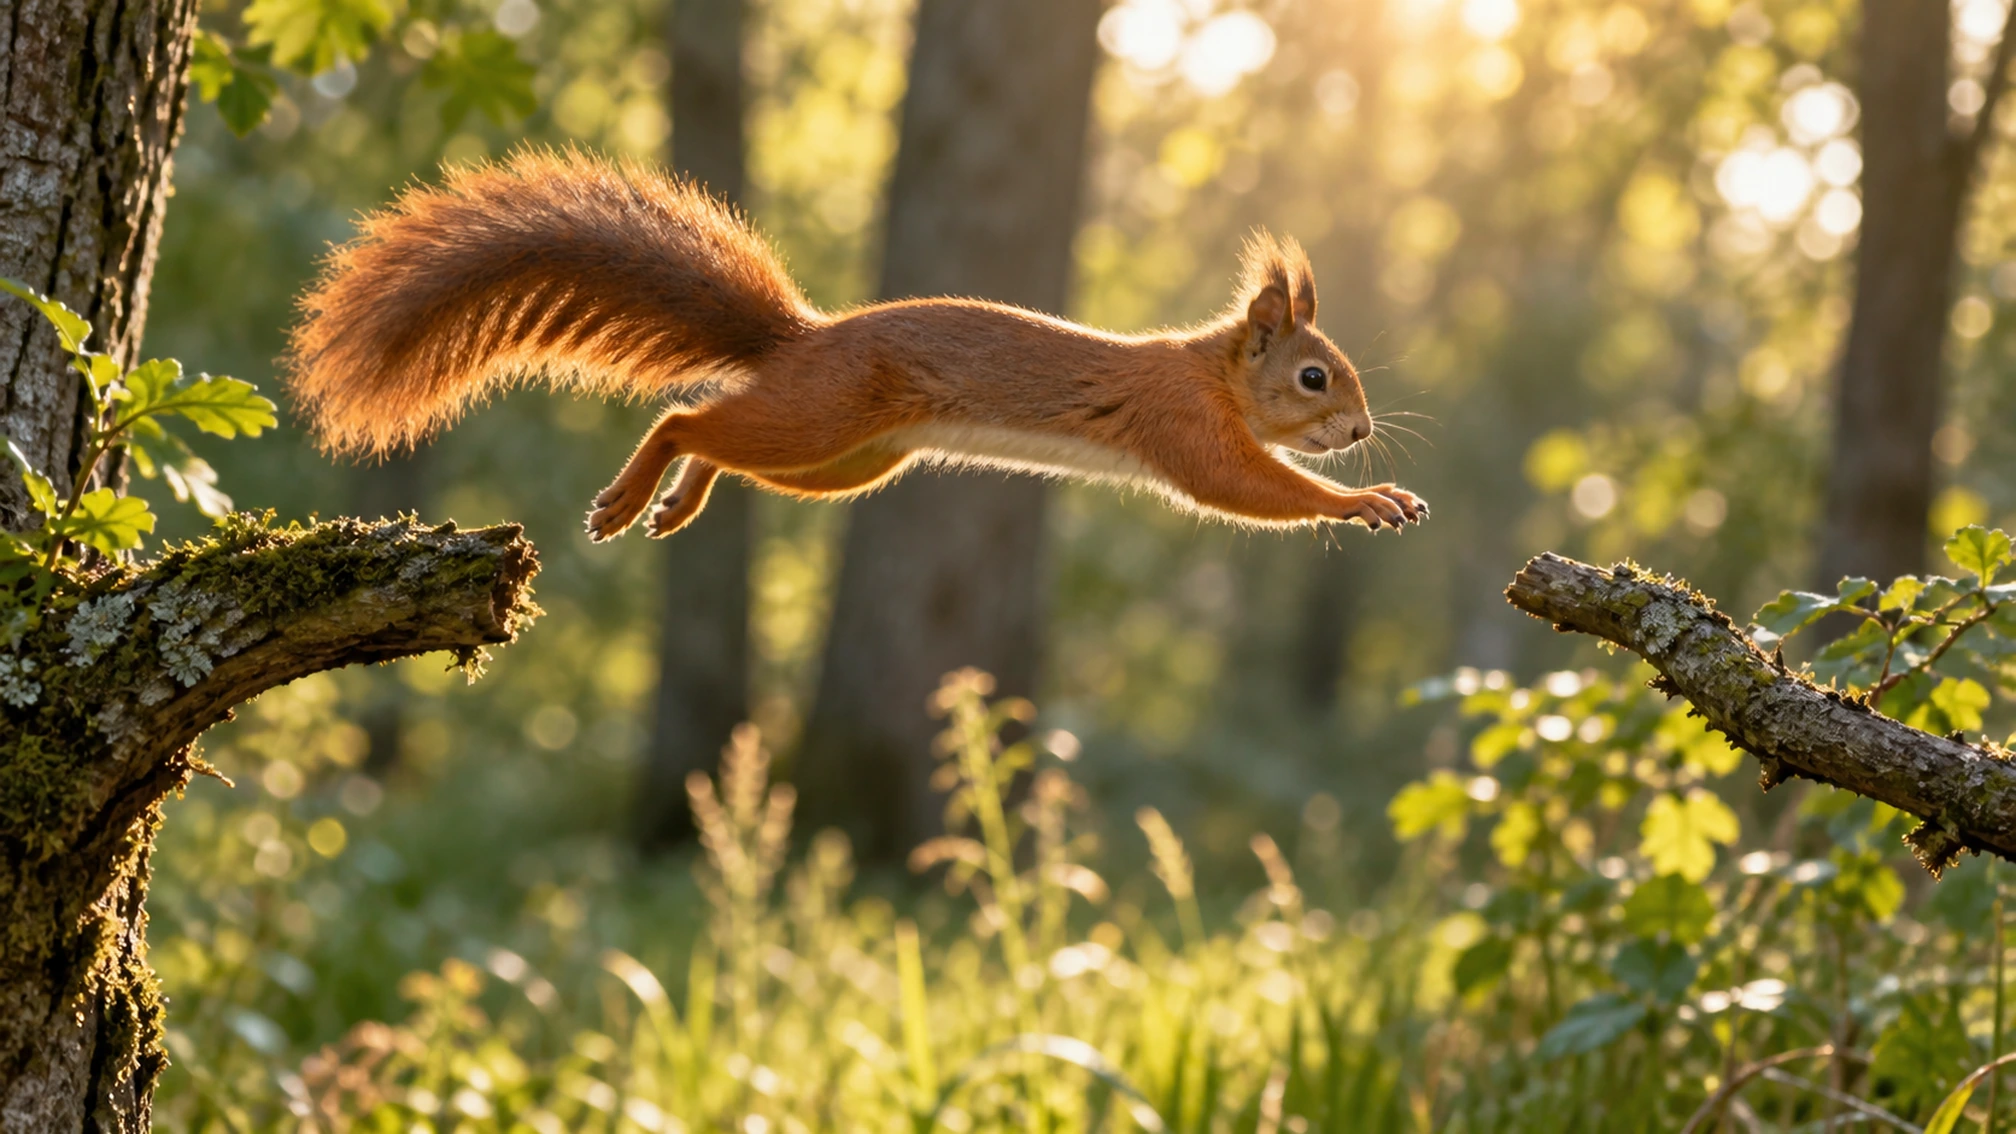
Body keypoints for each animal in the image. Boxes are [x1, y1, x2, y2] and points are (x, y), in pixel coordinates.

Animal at [286, 150, 1426, 539]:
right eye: (1314, 375)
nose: (1360, 429)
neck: (1210, 370)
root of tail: (803, 341)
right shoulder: (1182, 425)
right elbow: (1247, 487)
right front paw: (1366, 499)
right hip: (822, 417)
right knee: (686, 417)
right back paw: (634, 492)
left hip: (848, 462)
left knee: (721, 440)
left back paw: (678, 503)